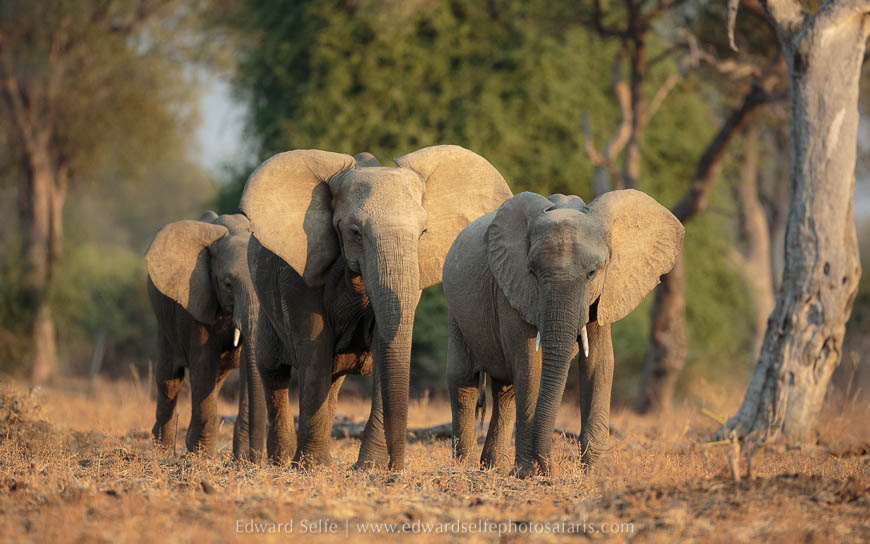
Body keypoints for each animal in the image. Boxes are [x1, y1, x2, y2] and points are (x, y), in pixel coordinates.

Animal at [145, 211, 266, 460]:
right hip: (163, 319)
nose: (257, 459)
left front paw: (241, 458)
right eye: (228, 284)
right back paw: (162, 449)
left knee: (216, 378)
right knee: (169, 378)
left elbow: (246, 367)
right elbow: (203, 363)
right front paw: (202, 456)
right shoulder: (196, 298)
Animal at [239, 146, 512, 470]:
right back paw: (281, 461)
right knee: (273, 368)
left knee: (331, 380)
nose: (398, 466)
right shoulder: (303, 266)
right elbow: (314, 350)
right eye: (355, 231)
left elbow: (385, 345)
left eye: (423, 232)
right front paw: (311, 466)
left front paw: (370, 466)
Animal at [443, 190, 684, 476]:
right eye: (532, 272)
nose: (550, 469)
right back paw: (465, 466)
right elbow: (530, 366)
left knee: (505, 389)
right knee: (464, 377)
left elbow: (599, 362)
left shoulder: (605, 292)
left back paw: (493, 467)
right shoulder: (512, 287)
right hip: (455, 307)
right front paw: (528, 473)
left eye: (592, 273)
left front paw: (595, 473)